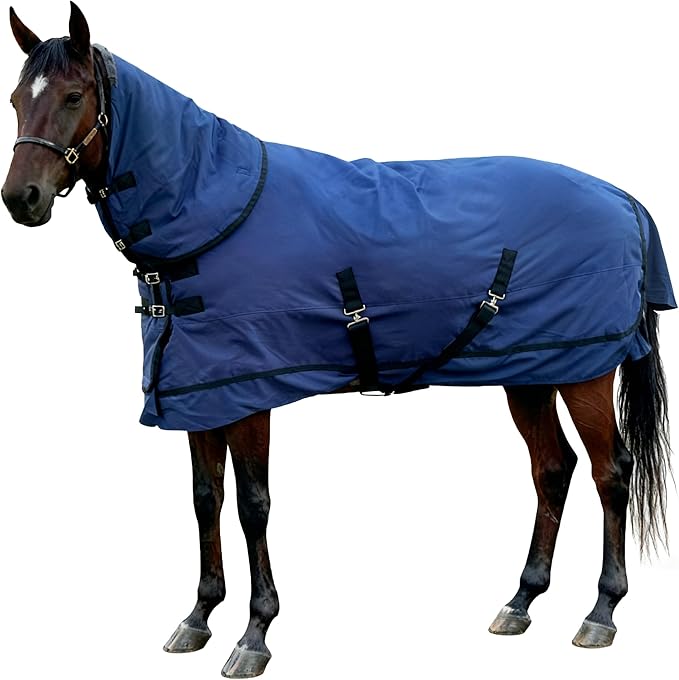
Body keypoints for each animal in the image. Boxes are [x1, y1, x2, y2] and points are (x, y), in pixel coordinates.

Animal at [2, 3, 675, 678]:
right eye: (14, 100)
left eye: (73, 96)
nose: (20, 198)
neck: (210, 211)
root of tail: (622, 198)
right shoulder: (200, 393)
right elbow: (204, 499)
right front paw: (199, 616)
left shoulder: (249, 392)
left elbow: (251, 504)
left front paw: (255, 633)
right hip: (532, 370)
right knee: (552, 469)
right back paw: (521, 600)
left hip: (585, 372)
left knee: (610, 471)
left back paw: (601, 612)